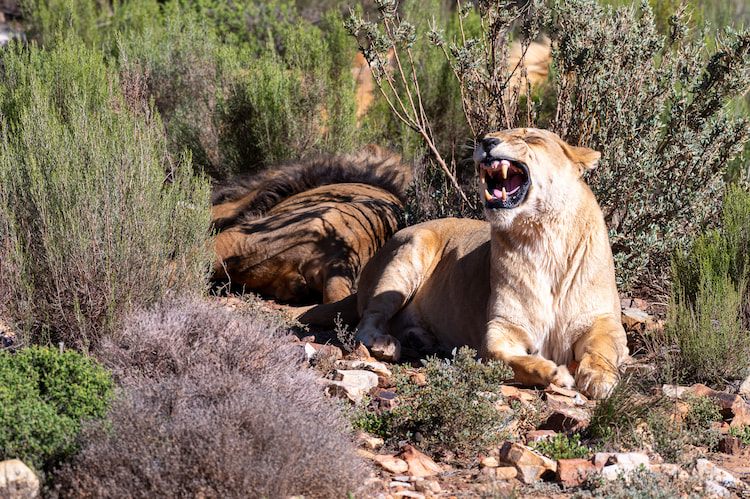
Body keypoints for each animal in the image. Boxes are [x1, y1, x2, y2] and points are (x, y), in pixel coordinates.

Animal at [300, 129, 629, 398]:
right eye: (498, 132)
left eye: (530, 137)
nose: (487, 141)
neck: (542, 237)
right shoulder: (499, 332)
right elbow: (514, 361)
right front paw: (556, 373)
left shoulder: (604, 321)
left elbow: (601, 350)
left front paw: (599, 378)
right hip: (410, 252)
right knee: (366, 323)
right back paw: (386, 344)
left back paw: (422, 340)